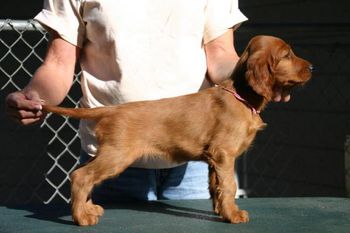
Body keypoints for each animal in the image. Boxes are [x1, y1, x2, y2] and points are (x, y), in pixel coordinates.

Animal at [41, 35, 312, 227]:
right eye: (287, 54)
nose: (312, 67)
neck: (241, 96)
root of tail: (112, 109)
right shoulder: (224, 153)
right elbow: (230, 187)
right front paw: (234, 215)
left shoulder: (214, 159)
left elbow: (216, 187)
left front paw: (221, 211)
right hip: (117, 155)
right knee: (81, 176)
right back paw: (81, 218)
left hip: (108, 152)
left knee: (83, 173)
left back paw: (88, 209)